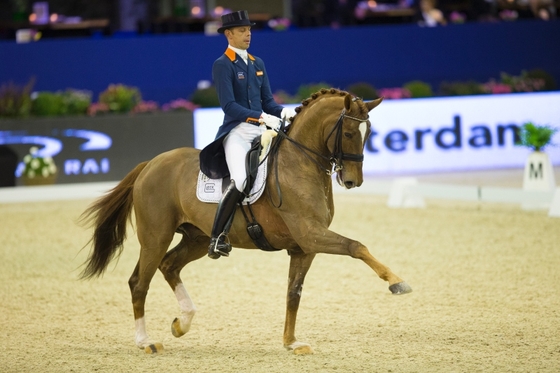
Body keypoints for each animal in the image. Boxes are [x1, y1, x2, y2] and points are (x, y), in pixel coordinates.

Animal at [79, 88, 412, 354]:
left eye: (369, 134)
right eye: (349, 133)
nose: (353, 181)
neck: (298, 163)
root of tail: (151, 163)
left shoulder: (304, 247)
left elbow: (293, 293)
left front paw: (291, 342)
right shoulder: (311, 234)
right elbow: (357, 246)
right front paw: (397, 282)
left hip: (197, 238)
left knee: (170, 265)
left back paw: (182, 323)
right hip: (155, 236)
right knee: (139, 283)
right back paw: (145, 341)